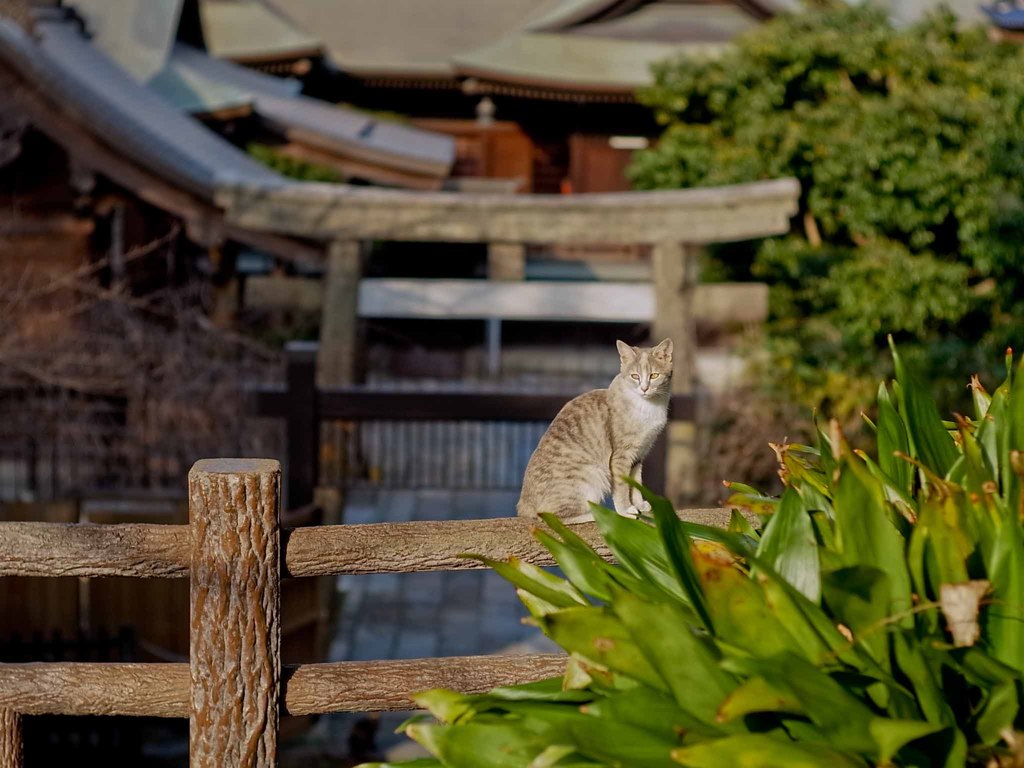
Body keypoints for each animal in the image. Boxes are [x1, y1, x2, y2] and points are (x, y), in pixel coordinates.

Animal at [516, 339, 675, 528]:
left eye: (654, 375)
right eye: (635, 376)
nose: (644, 388)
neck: (647, 406)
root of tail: (524, 505)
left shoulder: (639, 454)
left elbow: (636, 482)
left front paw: (639, 504)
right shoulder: (621, 455)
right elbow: (622, 486)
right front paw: (625, 510)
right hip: (593, 475)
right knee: (550, 515)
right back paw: (598, 513)